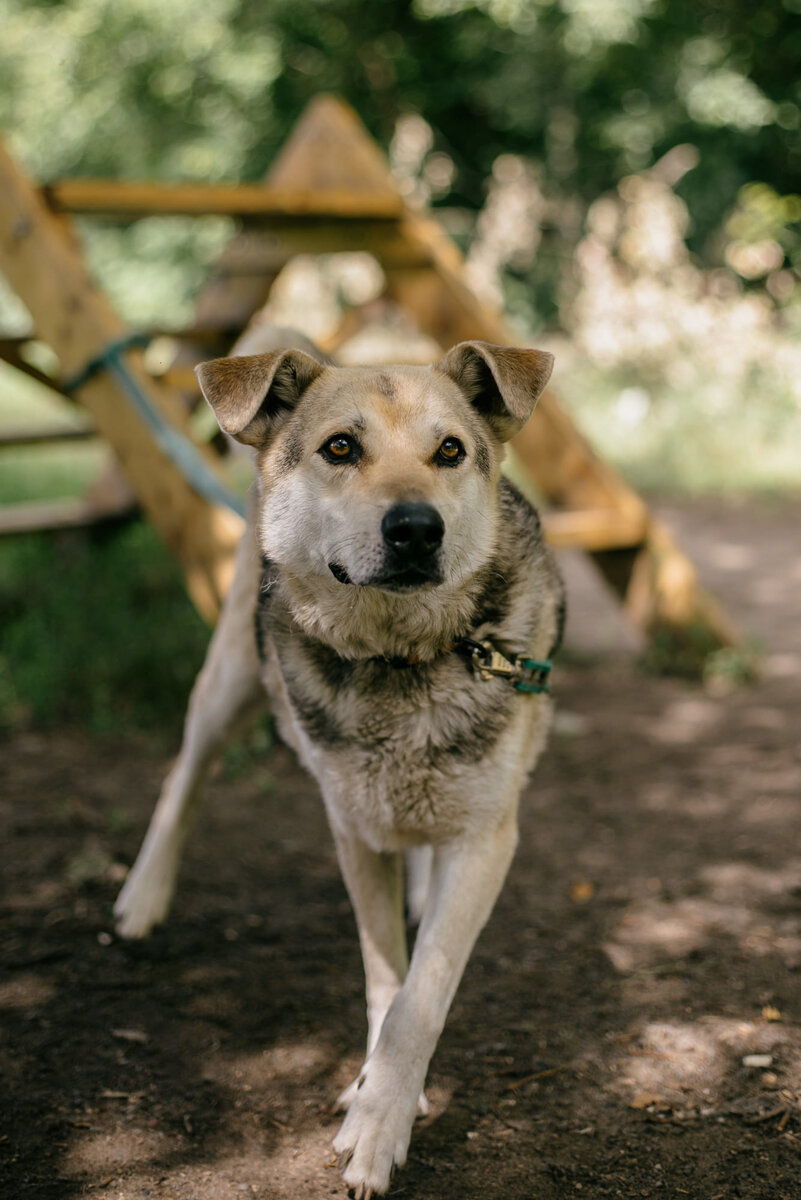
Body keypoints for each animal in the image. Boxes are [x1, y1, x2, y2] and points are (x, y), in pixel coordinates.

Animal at [113, 328, 563, 1200]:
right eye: (340, 448)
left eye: (450, 450)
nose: (416, 528)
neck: (401, 657)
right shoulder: (352, 828)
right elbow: (386, 975)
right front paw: (375, 1099)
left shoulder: (485, 839)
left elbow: (422, 992)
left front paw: (381, 1118)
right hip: (228, 681)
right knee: (184, 778)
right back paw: (142, 895)